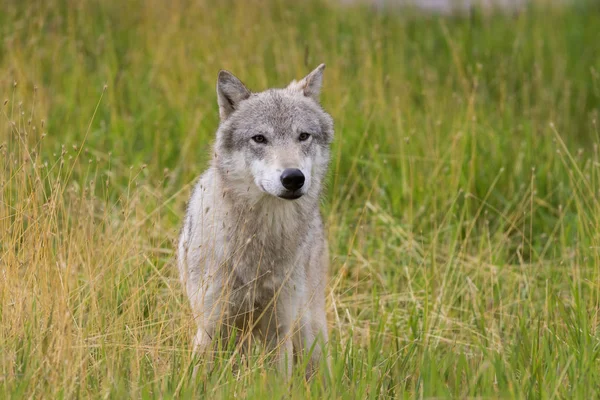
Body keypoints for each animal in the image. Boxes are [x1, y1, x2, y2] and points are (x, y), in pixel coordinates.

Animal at [178, 63, 336, 378]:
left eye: (303, 136)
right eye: (260, 138)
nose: (293, 178)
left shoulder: (278, 331)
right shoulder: (210, 327)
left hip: (307, 329)